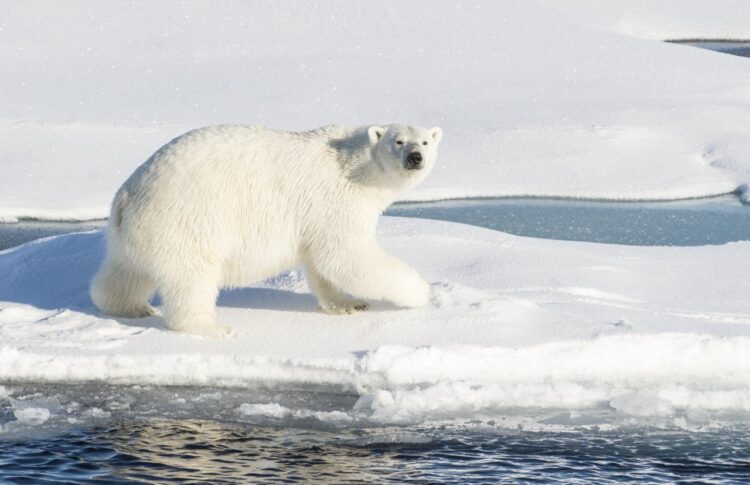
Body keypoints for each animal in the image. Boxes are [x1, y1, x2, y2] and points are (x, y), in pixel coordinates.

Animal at [90, 123, 443, 337]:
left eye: (425, 141)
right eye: (398, 141)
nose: (415, 157)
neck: (352, 165)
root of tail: (128, 194)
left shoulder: (317, 216)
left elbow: (322, 264)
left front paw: (348, 304)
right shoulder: (336, 200)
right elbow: (347, 255)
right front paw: (420, 292)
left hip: (135, 233)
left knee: (126, 272)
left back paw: (130, 306)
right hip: (186, 221)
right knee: (192, 278)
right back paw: (211, 326)